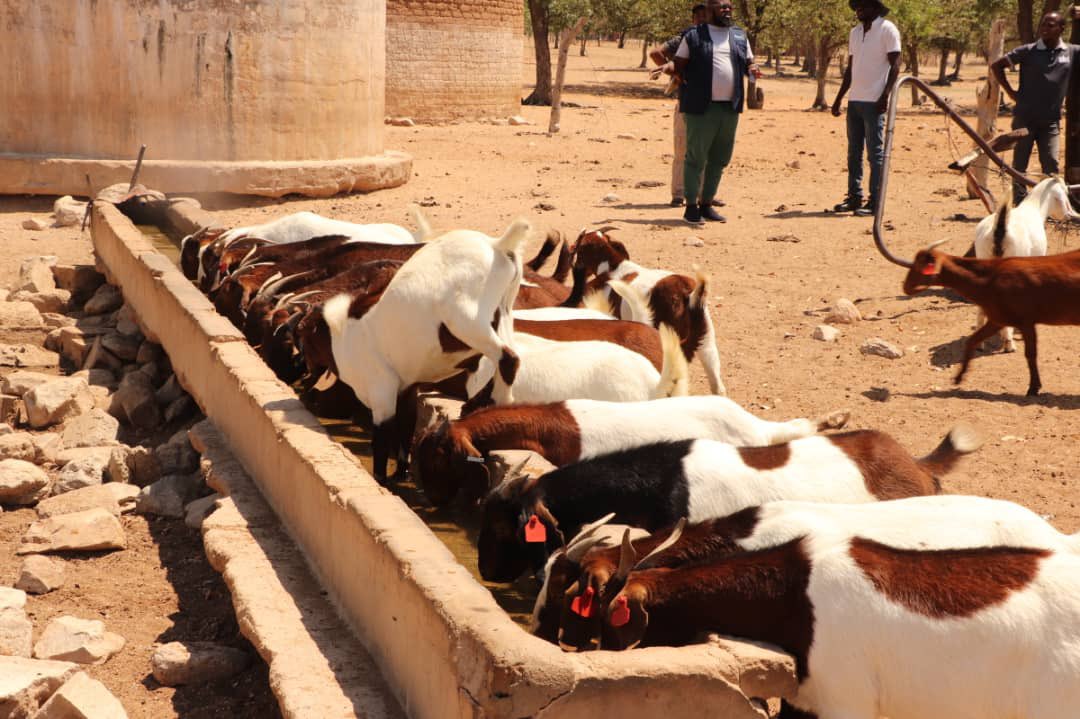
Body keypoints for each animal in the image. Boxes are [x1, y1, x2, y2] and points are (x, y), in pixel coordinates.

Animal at [319, 218, 531, 481]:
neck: (346, 335)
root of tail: (497, 245)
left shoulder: (382, 392)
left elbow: (382, 438)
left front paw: (381, 479)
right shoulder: (406, 388)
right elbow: (406, 426)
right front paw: (401, 473)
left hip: (467, 320)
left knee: (508, 357)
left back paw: (496, 406)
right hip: (503, 314)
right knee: (510, 356)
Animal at [972, 174, 1080, 351]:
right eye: (1065, 193)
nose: (1070, 215)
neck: (1034, 208)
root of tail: (999, 229)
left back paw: (981, 342)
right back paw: (1008, 342)